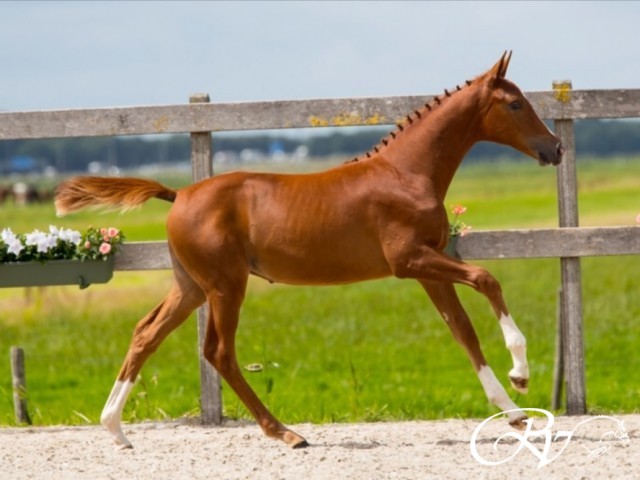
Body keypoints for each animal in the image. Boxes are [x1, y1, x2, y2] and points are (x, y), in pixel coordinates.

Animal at [56, 52, 564, 450]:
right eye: (515, 103)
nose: (555, 148)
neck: (406, 173)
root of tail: (178, 194)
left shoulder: (427, 270)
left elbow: (463, 332)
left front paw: (514, 412)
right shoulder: (409, 261)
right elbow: (486, 278)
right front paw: (521, 374)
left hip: (192, 286)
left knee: (146, 333)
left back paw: (115, 428)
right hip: (225, 285)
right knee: (218, 351)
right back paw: (285, 432)